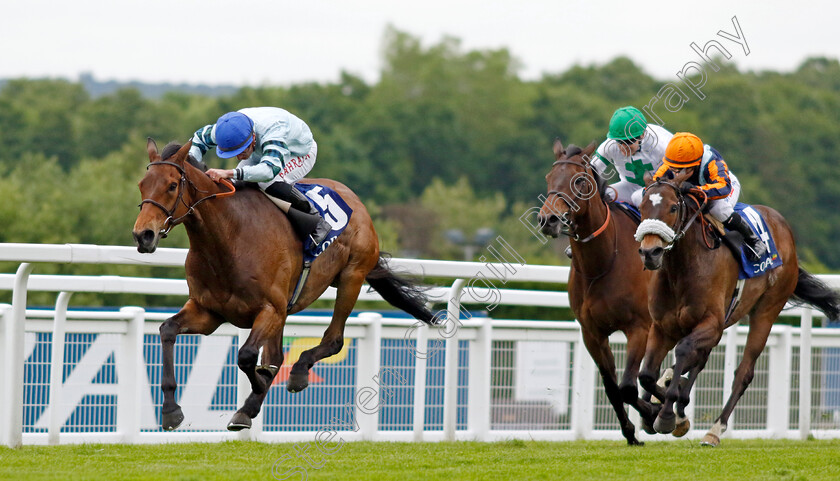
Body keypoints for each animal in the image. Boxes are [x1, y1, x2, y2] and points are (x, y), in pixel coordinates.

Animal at [133, 139, 440, 432]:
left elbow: (247, 356)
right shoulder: (209, 312)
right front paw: (171, 410)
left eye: (172, 185)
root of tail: (356, 201)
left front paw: (260, 383)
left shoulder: (270, 309)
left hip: (351, 276)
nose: (143, 235)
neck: (229, 238)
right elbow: (167, 329)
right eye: (141, 185)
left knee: (333, 340)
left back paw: (297, 373)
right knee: (278, 355)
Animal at [540, 137, 664, 444]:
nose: (548, 220)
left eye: (580, 180)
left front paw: (653, 413)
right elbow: (612, 386)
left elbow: (628, 386)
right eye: (549, 177)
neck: (604, 261)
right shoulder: (592, 333)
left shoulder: (639, 327)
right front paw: (632, 432)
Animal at [636, 170, 840, 446]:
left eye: (673, 207)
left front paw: (668, 415)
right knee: (700, 359)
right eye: (641, 207)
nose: (651, 252)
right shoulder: (662, 327)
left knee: (743, 372)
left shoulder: (711, 322)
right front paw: (661, 409)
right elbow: (647, 374)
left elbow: (684, 351)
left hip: (767, 310)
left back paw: (714, 430)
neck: (682, 269)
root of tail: (784, 229)